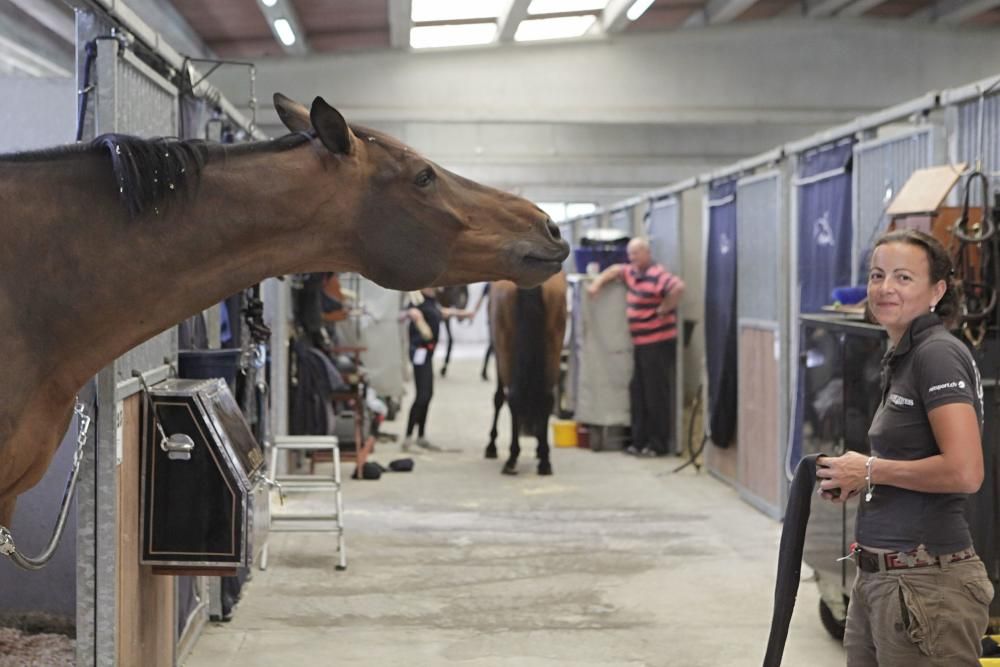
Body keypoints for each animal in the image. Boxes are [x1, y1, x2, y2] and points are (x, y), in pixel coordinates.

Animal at [486, 272, 568, 474]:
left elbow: (498, 398)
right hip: (554, 345)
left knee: (513, 397)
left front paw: (491, 446)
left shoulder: (497, 351)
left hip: (505, 347)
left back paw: (512, 458)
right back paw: (545, 460)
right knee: (546, 398)